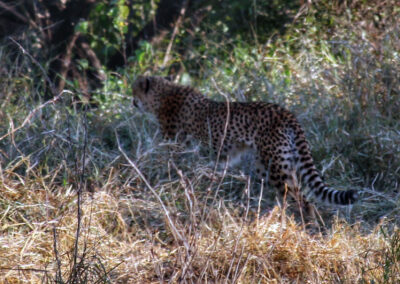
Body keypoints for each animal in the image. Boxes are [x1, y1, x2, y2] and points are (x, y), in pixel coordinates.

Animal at [133, 74, 358, 216]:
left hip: (277, 167)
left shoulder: (174, 144)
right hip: (269, 165)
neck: (164, 93)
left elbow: (168, 166)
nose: (131, 102)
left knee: (302, 200)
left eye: (134, 91)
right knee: (292, 196)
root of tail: (285, 111)